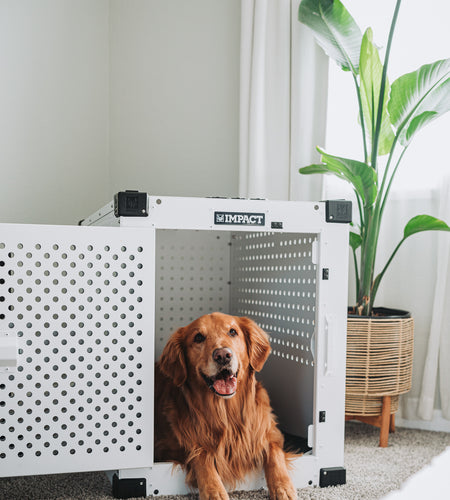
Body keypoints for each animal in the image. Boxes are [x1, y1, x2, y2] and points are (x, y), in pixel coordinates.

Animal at [155, 312, 298, 500]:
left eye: (232, 332)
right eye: (198, 337)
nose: (223, 355)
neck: (226, 412)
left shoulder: (271, 432)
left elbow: (274, 453)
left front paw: (283, 487)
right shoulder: (171, 445)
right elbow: (201, 455)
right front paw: (214, 491)